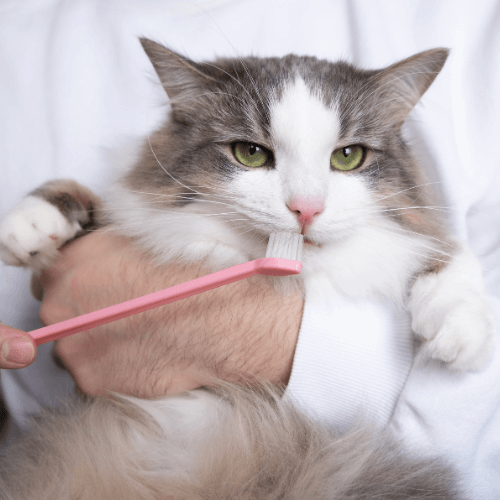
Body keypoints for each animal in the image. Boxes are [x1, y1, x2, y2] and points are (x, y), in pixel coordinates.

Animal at [0, 37, 492, 498]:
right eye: (251, 153)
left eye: (348, 157)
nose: (306, 209)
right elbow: (86, 200)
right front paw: (30, 224)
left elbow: (448, 249)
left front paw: (462, 329)